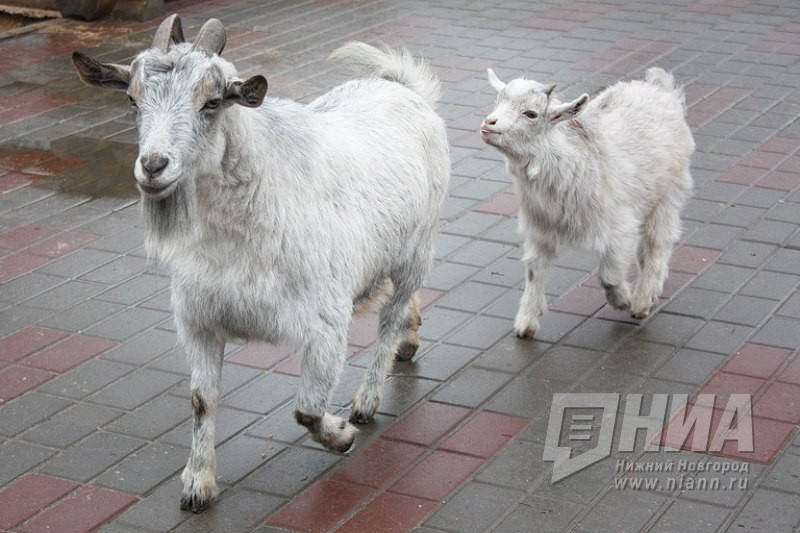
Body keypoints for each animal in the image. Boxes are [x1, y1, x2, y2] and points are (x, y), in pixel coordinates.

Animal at [72, 15, 449, 512]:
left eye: (212, 102)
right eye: (132, 99)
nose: (153, 166)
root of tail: (403, 88)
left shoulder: (325, 324)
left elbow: (306, 409)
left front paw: (342, 434)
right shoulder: (199, 322)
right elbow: (201, 400)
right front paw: (197, 484)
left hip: (416, 250)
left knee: (389, 317)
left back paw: (368, 398)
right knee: (398, 305)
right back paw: (410, 339)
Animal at [480, 67, 694, 338]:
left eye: (531, 114)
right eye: (498, 101)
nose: (489, 123)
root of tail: (659, 86)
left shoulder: (618, 228)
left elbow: (609, 276)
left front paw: (622, 299)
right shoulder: (540, 228)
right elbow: (534, 272)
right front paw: (526, 323)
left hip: (667, 193)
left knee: (659, 241)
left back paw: (642, 300)